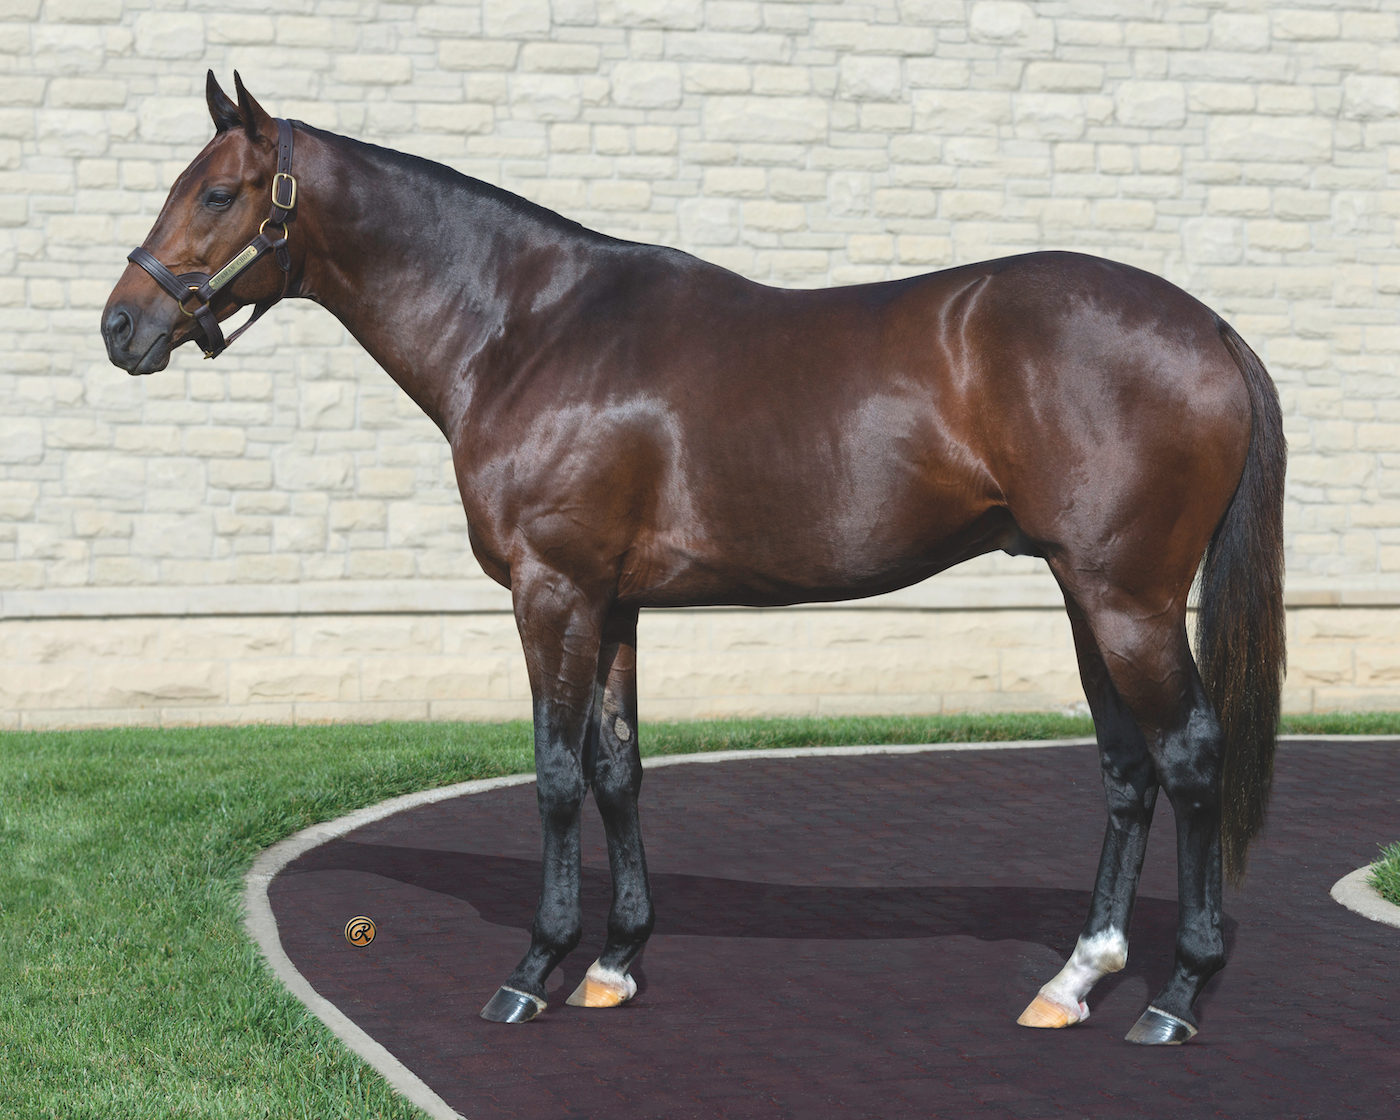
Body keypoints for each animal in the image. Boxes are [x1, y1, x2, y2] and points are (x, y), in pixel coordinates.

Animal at [103, 73, 1285, 1046]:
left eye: (218, 196)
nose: (121, 328)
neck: (525, 329)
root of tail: (1210, 328)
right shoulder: (614, 603)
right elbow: (618, 771)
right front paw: (615, 965)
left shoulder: (552, 592)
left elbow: (555, 775)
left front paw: (533, 970)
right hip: (1085, 594)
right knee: (1127, 770)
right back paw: (1074, 982)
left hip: (1126, 598)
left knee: (1186, 755)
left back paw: (1178, 997)